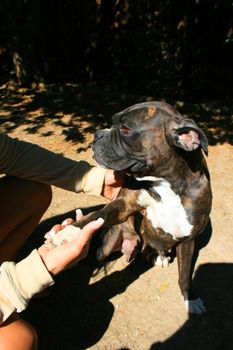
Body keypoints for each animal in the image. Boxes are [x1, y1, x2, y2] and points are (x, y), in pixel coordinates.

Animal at [75, 100, 212, 314]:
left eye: (125, 129)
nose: (97, 134)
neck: (165, 184)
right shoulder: (122, 206)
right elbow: (94, 217)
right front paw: (65, 233)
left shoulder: (188, 239)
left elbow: (185, 275)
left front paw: (191, 298)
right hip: (105, 247)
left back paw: (159, 256)